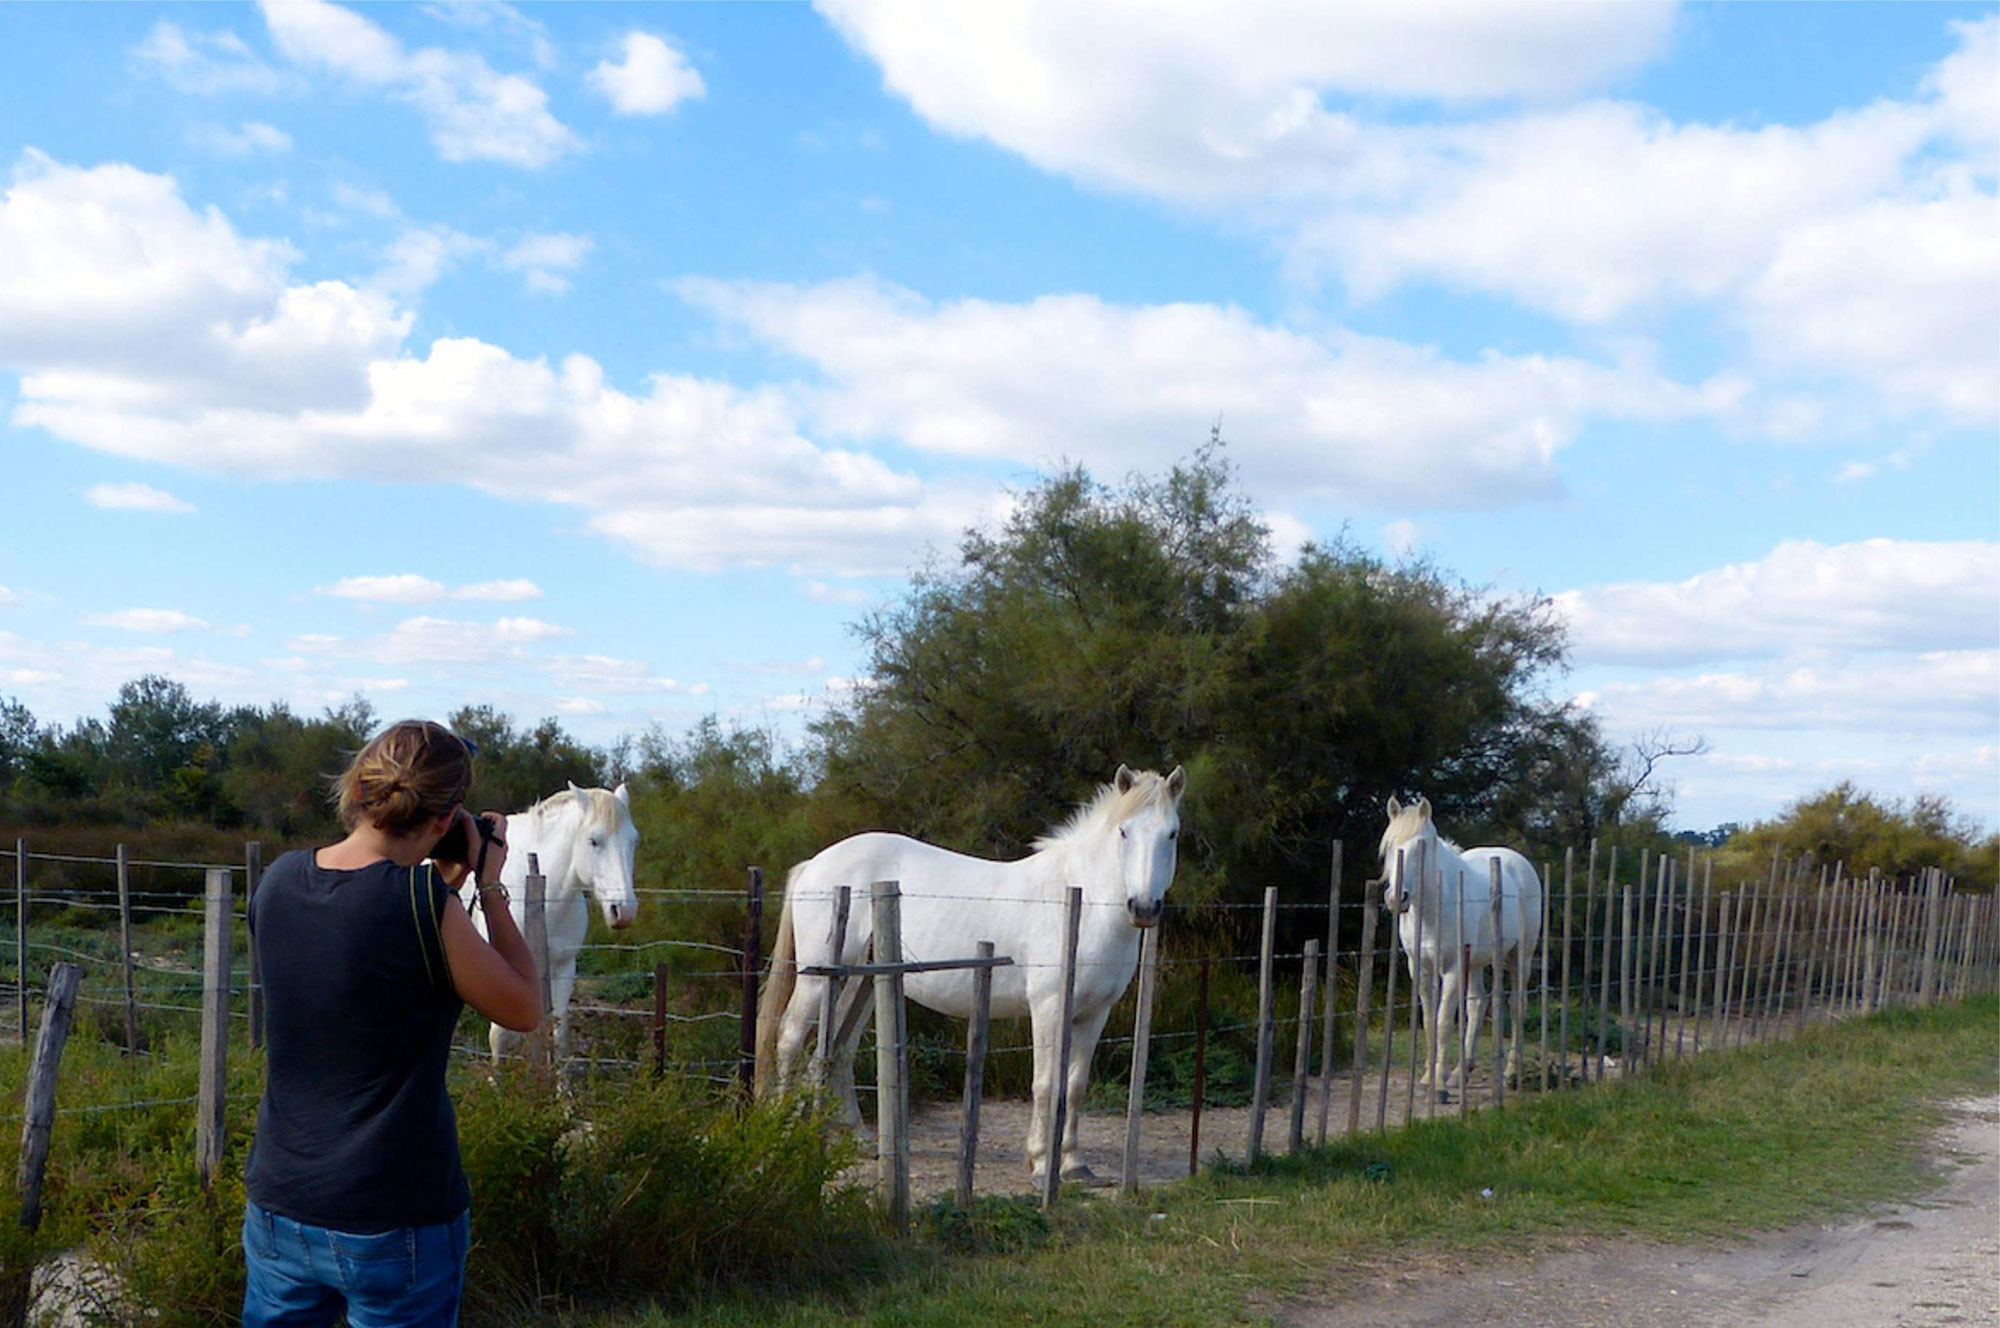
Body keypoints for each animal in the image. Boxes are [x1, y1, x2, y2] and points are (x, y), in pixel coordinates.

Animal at [472, 788, 636, 1056]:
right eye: (594, 840)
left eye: (634, 840)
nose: (624, 910)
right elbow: (499, 1038)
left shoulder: (564, 967)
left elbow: (559, 1034)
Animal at [756, 768, 1176, 1184]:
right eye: (1124, 832)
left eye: (1171, 833)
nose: (1143, 907)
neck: (1081, 902)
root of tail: (814, 863)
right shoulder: (1049, 1008)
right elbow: (1046, 1085)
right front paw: (1042, 1163)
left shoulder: (1093, 1015)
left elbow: (1074, 1086)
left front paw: (1073, 1164)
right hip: (817, 981)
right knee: (790, 1038)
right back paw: (784, 1131)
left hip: (861, 984)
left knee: (839, 1049)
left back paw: (859, 1139)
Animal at [1376, 800, 1544, 1096]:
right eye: (1390, 846)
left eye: (1421, 846)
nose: (1397, 898)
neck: (1435, 906)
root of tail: (1520, 862)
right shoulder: (1420, 968)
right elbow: (1429, 1020)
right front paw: (1429, 1076)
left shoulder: (1452, 969)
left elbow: (1443, 1022)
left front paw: (1438, 1084)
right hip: (1475, 962)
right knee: (1477, 1004)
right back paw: (1460, 1072)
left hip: (1519, 956)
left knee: (1517, 1006)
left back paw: (1511, 1072)